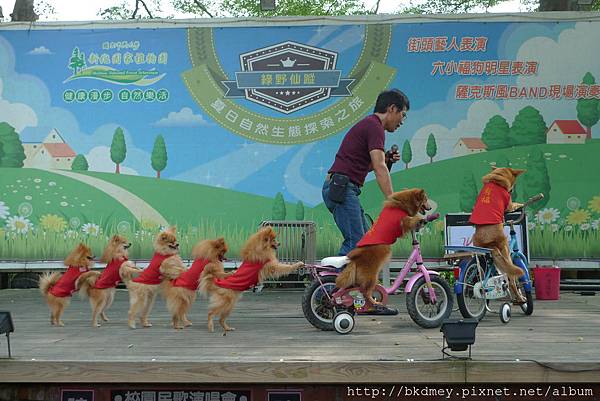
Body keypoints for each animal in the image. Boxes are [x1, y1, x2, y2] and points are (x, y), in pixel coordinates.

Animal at [468, 167, 524, 302]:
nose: (511, 190)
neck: (496, 179)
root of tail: (489, 244)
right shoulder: (509, 204)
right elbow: (515, 204)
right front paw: (520, 204)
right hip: (506, 251)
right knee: (511, 280)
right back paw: (519, 298)